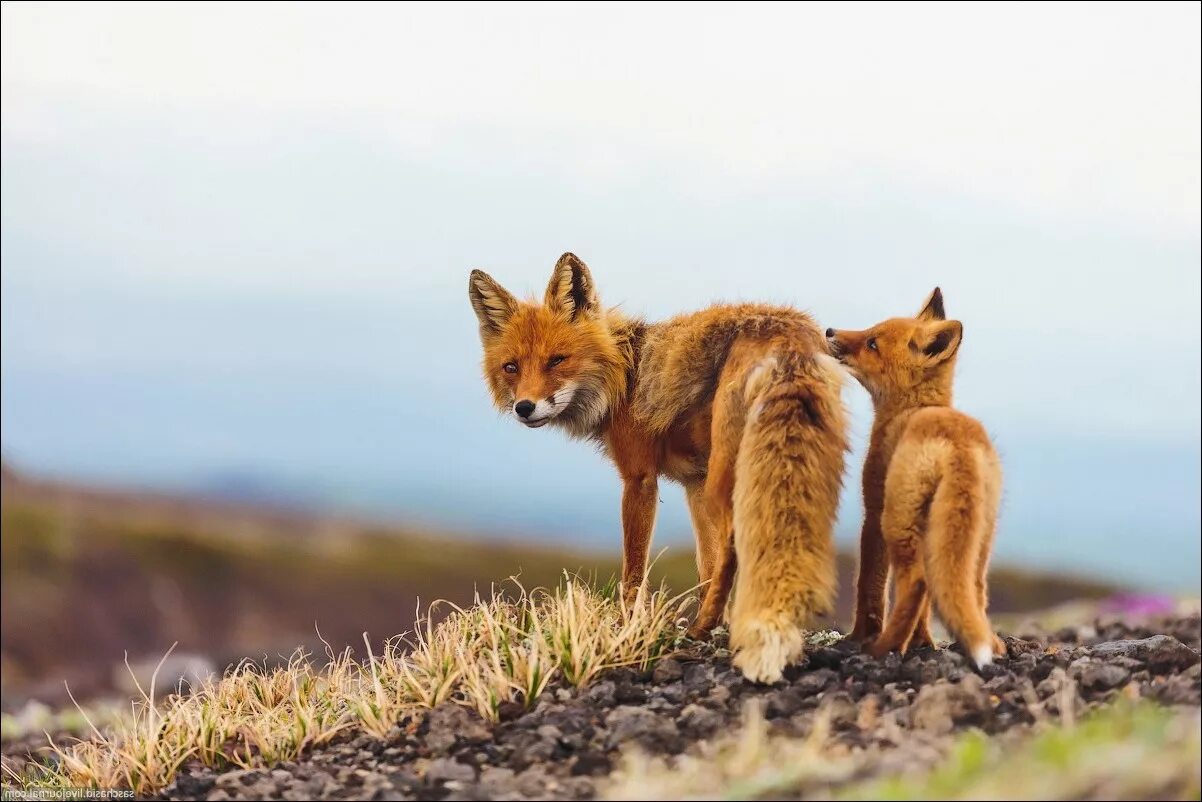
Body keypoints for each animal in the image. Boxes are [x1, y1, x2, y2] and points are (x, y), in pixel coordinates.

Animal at [466, 253, 846, 682]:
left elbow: (634, 572)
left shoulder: (640, 479)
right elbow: (706, 566)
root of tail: (789, 327)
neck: (624, 377)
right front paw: (716, 625)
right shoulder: (694, 483)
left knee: (735, 549)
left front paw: (628, 628)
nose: (524, 407)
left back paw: (705, 629)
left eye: (557, 360)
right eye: (511, 367)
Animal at [826, 292, 1004, 668]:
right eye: (870, 330)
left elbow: (869, 585)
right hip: (978, 537)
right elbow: (925, 611)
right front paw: (923, 641)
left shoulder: (872, 511)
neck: (912, 407)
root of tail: (958, 445)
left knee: (916, 582)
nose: (829, 331)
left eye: (872, 343)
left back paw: (883, 647)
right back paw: (989, 644)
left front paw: (859, 636)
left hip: (898, 522)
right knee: (972, 590)